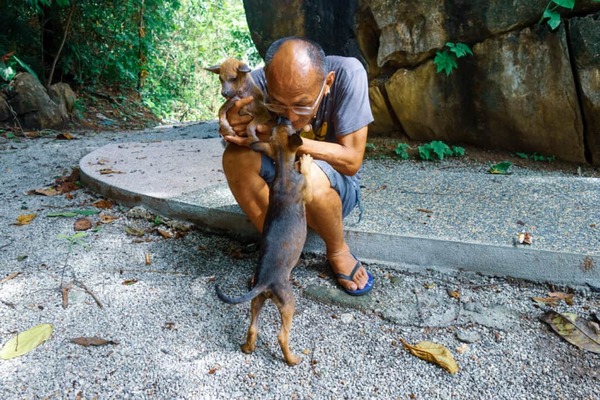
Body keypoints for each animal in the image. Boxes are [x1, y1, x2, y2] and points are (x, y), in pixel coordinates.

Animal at [216, 118, 312, 366]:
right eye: (289, 127)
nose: (282, 118)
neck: (284, 172)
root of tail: (265, 282)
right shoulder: (306, 192)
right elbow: (307, 175)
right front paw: (306, 161)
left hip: (257, 300)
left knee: (253, 329)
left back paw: (247, 348)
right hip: (288, 303)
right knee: (281, 336)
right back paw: (292, 359)